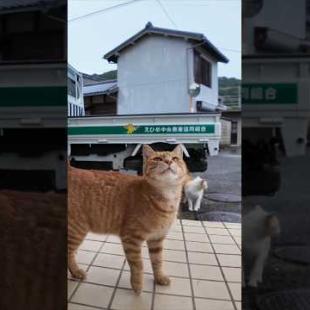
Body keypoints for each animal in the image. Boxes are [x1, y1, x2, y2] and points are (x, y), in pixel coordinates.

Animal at [68, 143, 188, 294]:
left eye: (175, 158)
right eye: (158, 159)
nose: (168, 162)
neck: (167, 198)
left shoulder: (157, 239)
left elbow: (158, 261)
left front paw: (159, 277)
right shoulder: (131, 238)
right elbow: (138, 264)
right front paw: (137, 285)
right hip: (77, 230)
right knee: (68, 253)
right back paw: (75, 271)